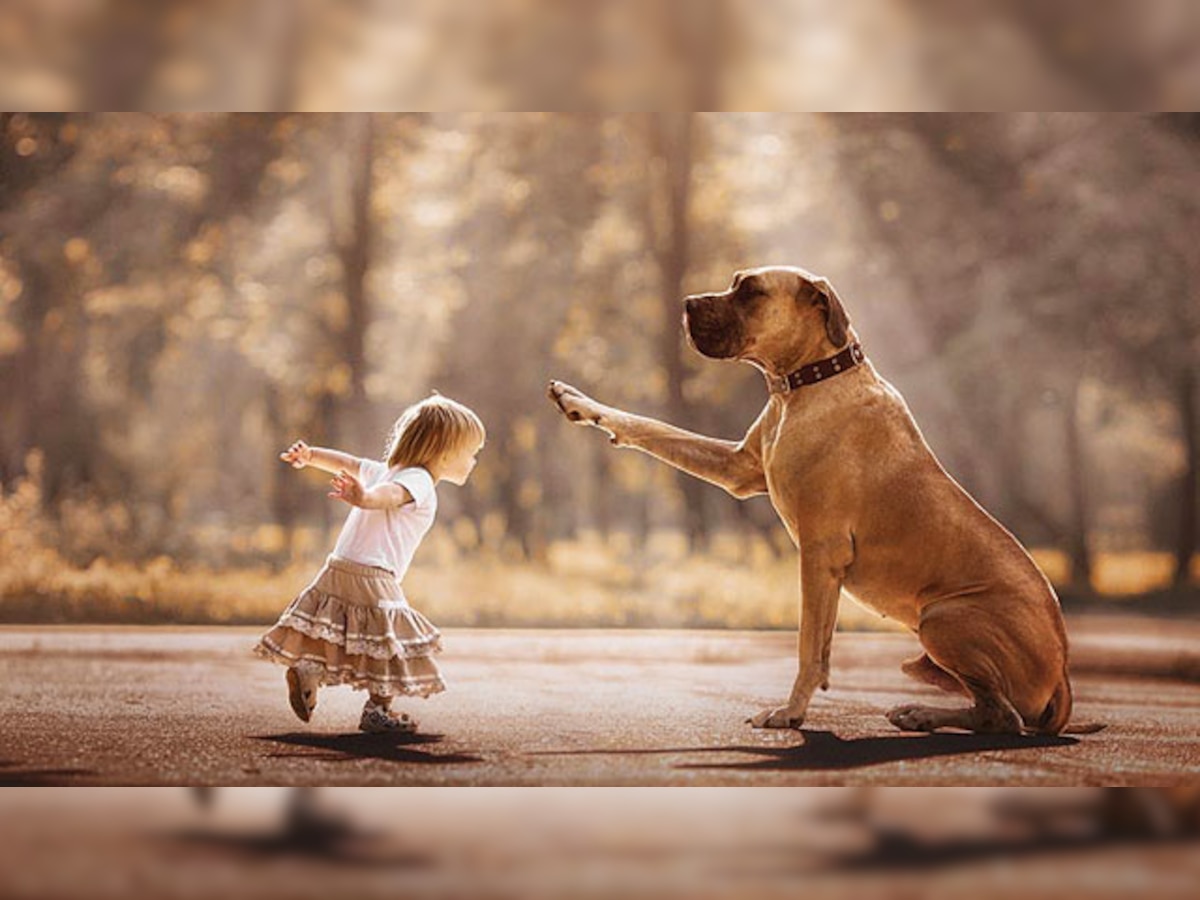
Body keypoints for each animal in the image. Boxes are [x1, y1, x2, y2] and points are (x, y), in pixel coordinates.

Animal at [549, 264, 1094, 734]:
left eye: (750, 291)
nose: (687, 303)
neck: (805, 382)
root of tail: (1065, 670)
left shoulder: (819, 553)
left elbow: (810, 644)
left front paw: (791, 712)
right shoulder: (737, 469)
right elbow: (653, 428)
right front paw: (579, 401)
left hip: (943, 619)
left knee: (1006, 717)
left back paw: (922, 714)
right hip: (925, 649)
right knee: (989, 707)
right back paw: (921, 712)